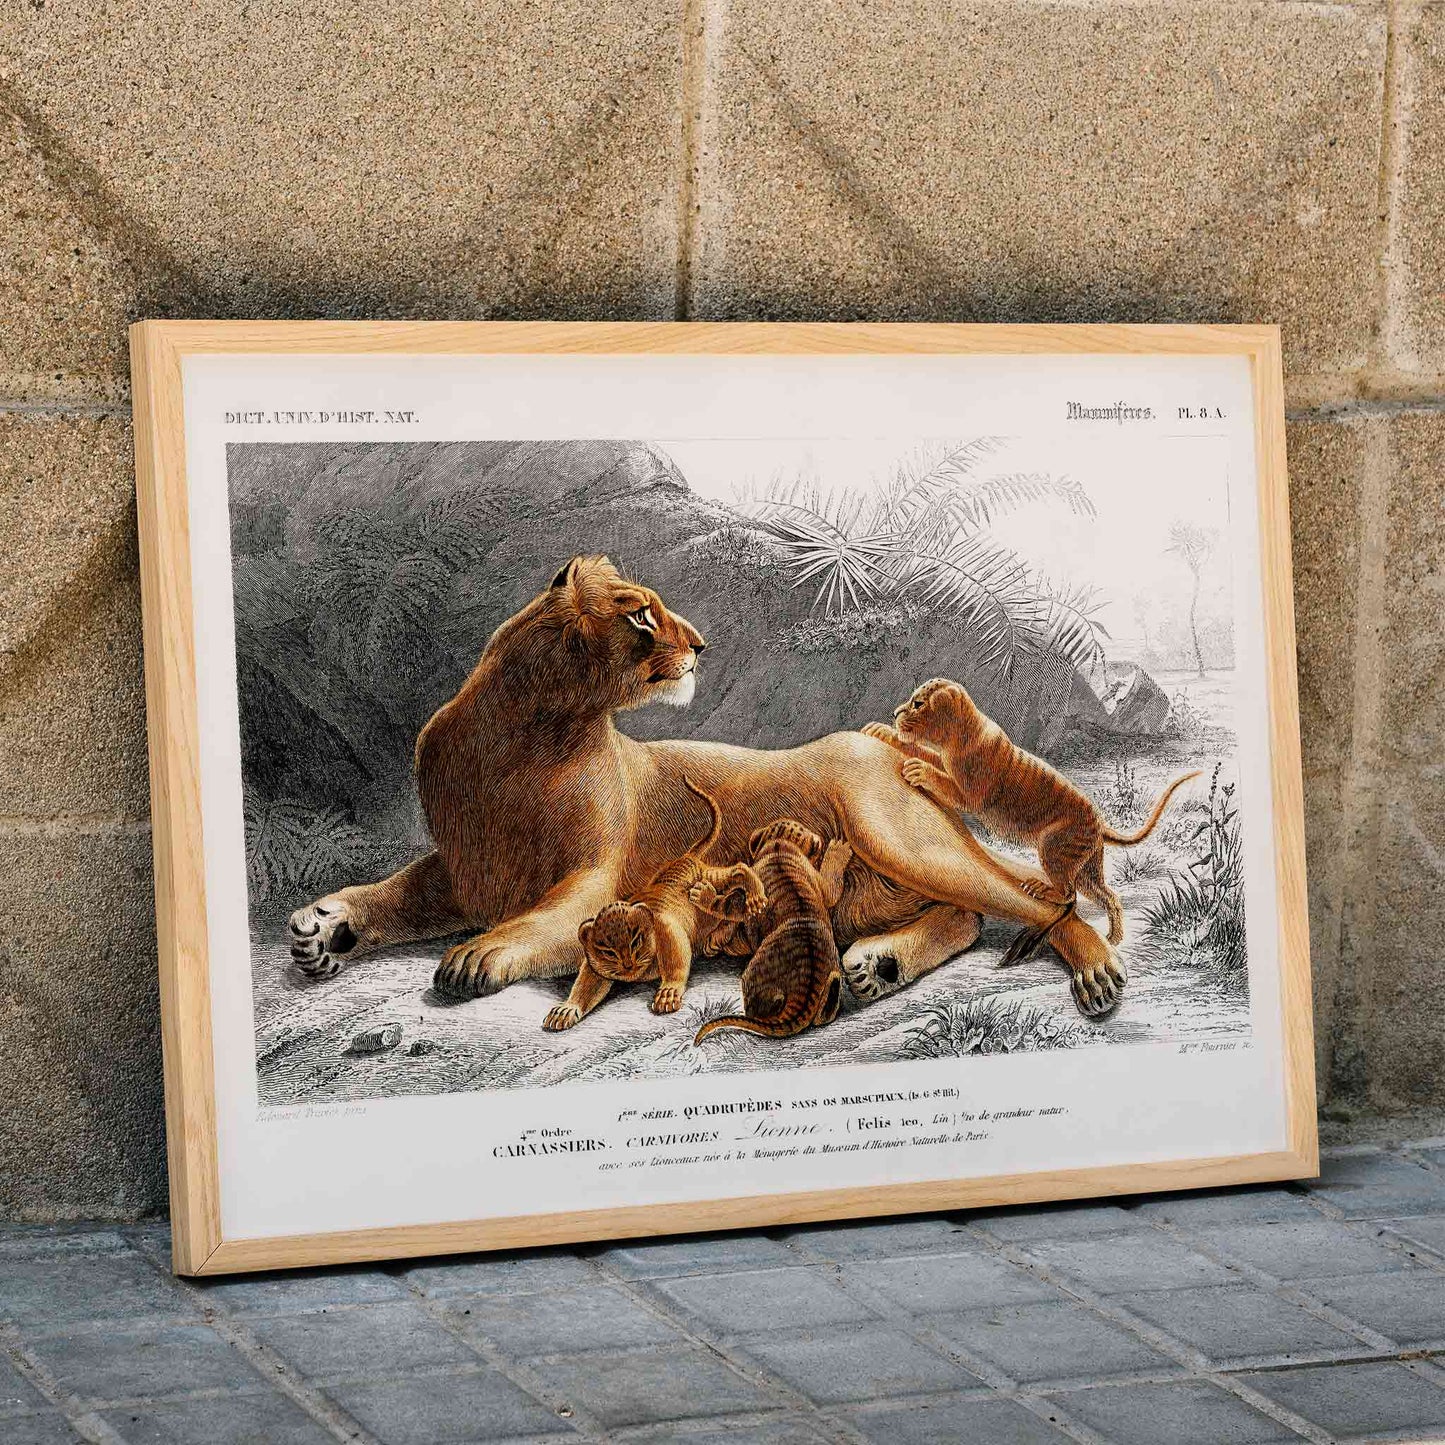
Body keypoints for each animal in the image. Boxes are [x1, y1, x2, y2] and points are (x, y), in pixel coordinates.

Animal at [287, 556, 1127, 1018]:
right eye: (640, 613)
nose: (700, 643)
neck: (524, 728)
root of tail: (885, 741)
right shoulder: (465, 870)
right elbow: (391, 893)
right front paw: (324, 928)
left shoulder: (595, 877)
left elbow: (537, 921)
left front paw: (477, 954)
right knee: (963, 915)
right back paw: (877, 965)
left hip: (898, 835)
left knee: (1029, 902)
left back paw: (1094, 972)